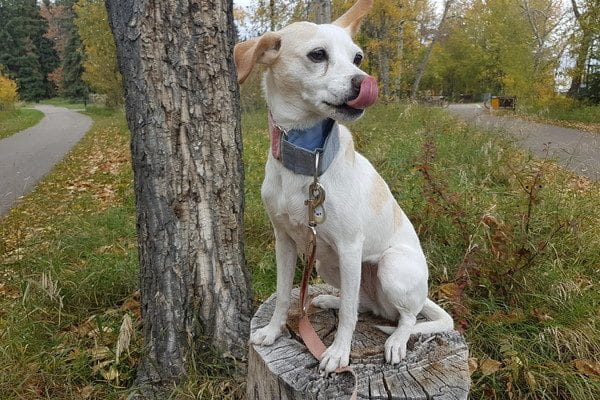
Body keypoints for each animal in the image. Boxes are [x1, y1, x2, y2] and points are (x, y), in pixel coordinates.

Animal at [234, 0, 450, 376]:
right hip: (326, 264)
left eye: (358, 58)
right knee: (365, 304)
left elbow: (349, 315)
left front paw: (338, 353)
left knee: (404, 316)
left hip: (389, 265)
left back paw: (396, 340)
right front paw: (273, 331)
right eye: (317, 54)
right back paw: (329, 299)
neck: (309, 158)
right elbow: (283, 294)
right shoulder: (285, 241)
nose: (366, 83)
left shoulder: (350, 246)